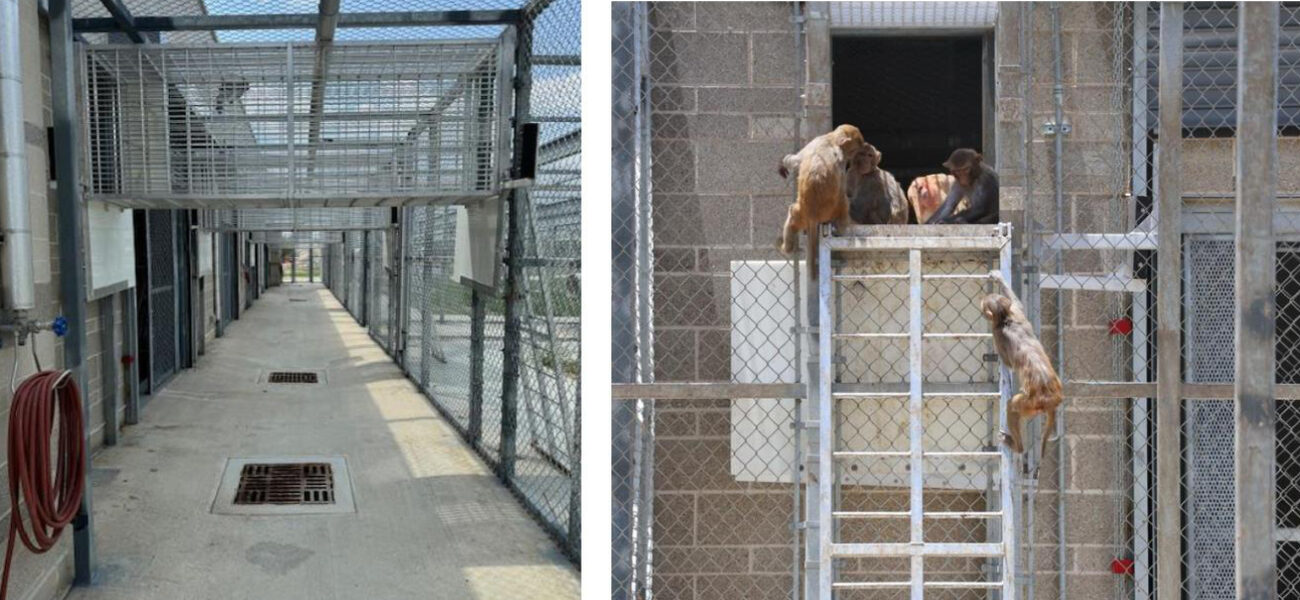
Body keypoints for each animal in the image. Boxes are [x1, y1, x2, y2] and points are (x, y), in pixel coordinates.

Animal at [977, 270, 1060, 457]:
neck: (1006, 319)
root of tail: (1051, 400)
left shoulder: (998, 332)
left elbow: (1007, 361)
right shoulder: (1017, 315)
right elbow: (1018, 304)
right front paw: (999, 277)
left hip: (1031, 403)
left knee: (1013, 405)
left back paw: (1017, 446)